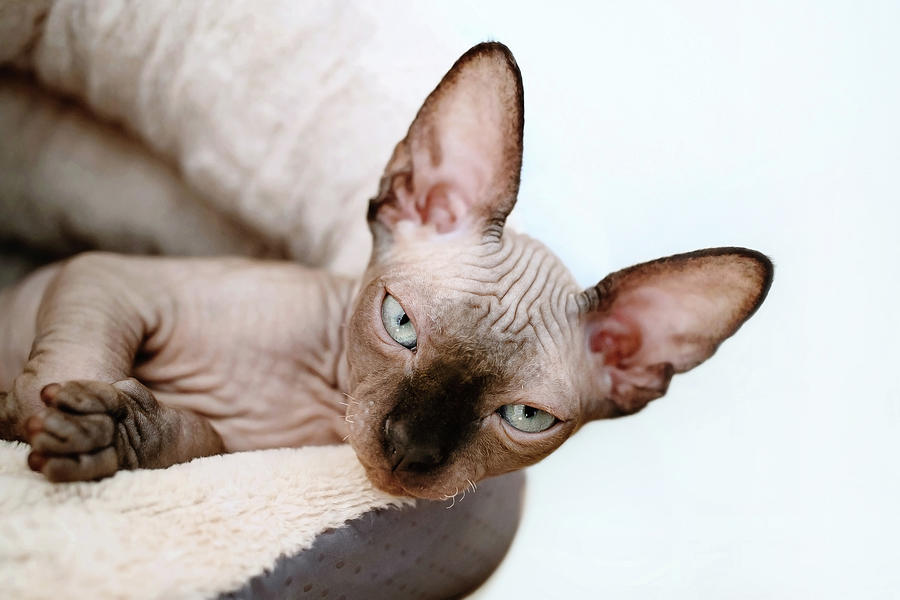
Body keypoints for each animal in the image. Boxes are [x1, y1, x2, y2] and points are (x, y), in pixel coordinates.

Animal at [0, 44, 772, 500]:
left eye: (526, 417)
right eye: (400, 323)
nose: (409, 452)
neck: (311, 388)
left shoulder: (247, 452)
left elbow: (197, 442)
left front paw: (112, 435)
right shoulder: (101, 275)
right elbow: (66, 368)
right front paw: (37, 418)